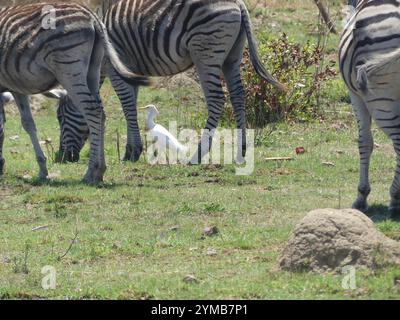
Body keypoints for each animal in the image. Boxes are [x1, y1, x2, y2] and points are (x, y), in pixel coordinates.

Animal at [0, 2, 148, 184]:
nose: (1, 167)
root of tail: (93, 17)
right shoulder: (17, 87)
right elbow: (28, 123)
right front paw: (42, 169)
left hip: (68, 68)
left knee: (92, 110)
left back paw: (92, 171)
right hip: (93, 69)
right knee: (100, 112)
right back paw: (99, 172)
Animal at [54, 0, 286, 164]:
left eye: (60, 117)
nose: (61, 157)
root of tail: (238, 3)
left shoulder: (115, 67)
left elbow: (127, 105)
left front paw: (132, 152)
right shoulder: (131, 70)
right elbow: (132, 104)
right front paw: (132, 149)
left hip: (206, 51)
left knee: (217, 99)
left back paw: (198, 154)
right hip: (233, 55)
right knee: (238, 95)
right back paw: (242, 149)